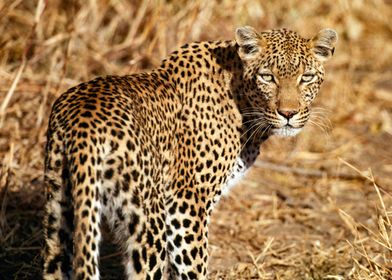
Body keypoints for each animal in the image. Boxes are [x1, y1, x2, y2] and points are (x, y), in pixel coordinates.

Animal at [43, 26, 336, 280]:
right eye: (267, 77)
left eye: (306, 77)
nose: (288, 113)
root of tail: (84, 124)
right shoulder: (187, 200)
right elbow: (191, 266)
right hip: (148, 219)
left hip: (59, 209)